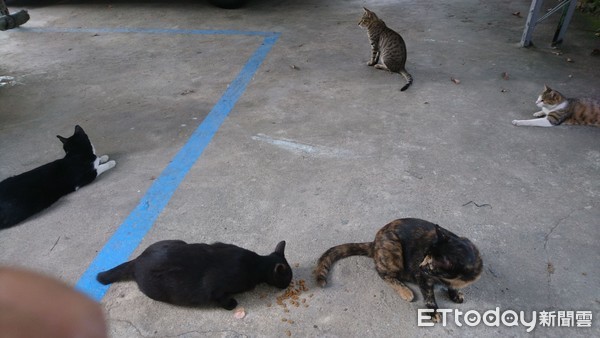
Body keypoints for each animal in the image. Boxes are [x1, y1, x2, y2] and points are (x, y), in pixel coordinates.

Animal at [97, 240, 294, 308]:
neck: (257, 264)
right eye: (288, 278)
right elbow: (222, 299)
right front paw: (232, 304)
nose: (289, 284)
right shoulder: (215, 288)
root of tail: (137, 260)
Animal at [314, 219, 482, 322]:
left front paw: (455, 294)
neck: (453, 278)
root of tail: (375, 242)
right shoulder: (423, 278)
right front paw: (434, 311)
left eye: (430, 265)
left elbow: (452, 287)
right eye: (424, 256)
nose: (419, 266)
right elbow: (429, 296)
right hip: (393, 248)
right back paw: (405, 291)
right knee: (382, 273)